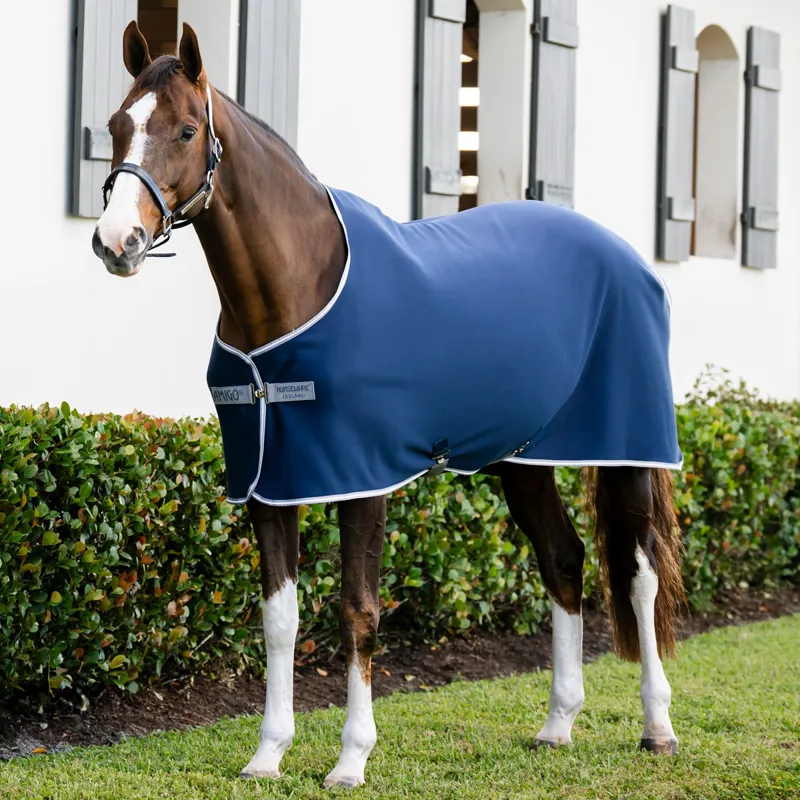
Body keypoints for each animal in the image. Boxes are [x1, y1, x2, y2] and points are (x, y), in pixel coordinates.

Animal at [91, 21, 685, 788]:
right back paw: (557, 724)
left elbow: (358, 611)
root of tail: (628, 257)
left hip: (628, 450)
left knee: (640, 575)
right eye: (116, 125)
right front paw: (268, 753)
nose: (116, 242)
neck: (296, 289)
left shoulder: (361, 479)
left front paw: (350, 759)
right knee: (564, 559)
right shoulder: (270, 483)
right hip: (523, 462)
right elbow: (279, 619)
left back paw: (657, 726)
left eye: (188, 129)